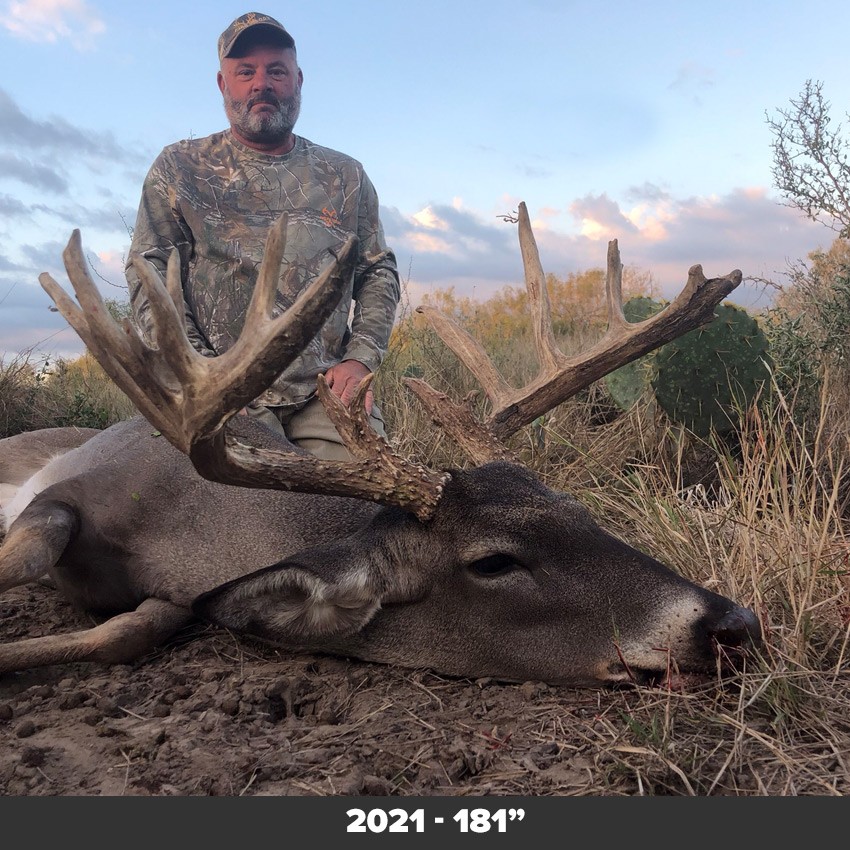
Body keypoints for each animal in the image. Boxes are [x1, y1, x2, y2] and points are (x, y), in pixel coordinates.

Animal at [0, 203, 761, 688]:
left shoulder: (180, 596)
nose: (734, 623)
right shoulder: (75, 491)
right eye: (492, 562)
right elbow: (35, 549)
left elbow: (125, 631)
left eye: (582, 512)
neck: (195, 527)